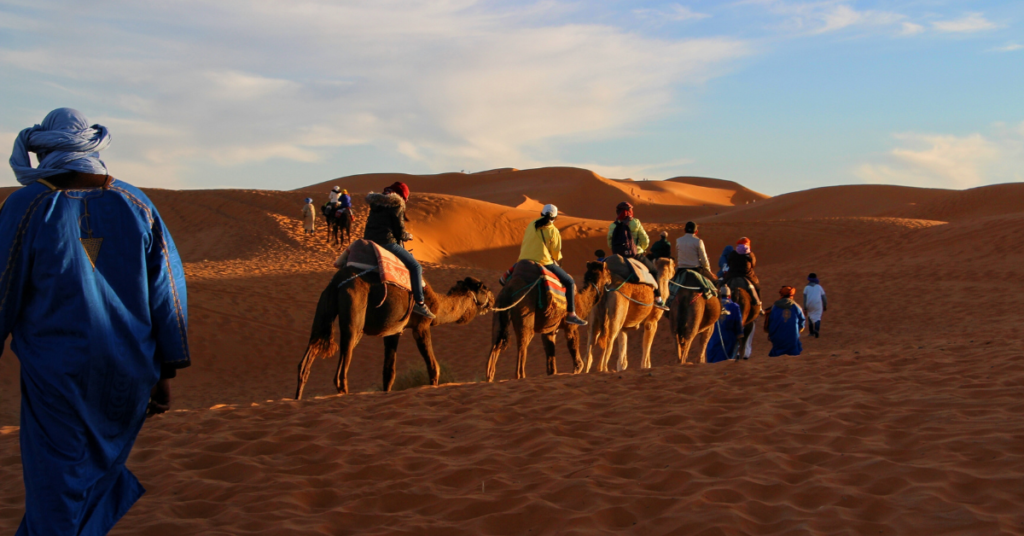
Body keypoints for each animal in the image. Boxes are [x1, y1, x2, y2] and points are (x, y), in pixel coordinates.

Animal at [294, 268, 493, 397]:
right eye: (484, 288)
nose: (492, 299)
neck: (436, 304)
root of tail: (337, 283)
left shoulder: (394, 331)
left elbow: (388, 372)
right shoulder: (421, 326)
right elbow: (433, 367)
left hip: (324, 310)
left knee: (306, 359)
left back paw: (298, 398)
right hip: (354, 315)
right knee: (341, 371)